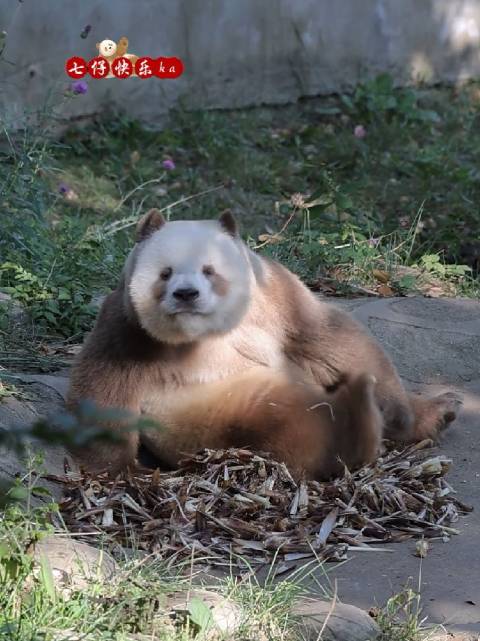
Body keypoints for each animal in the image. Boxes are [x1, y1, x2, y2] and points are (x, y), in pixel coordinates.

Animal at [67, 210, 462, 480]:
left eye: (209, 270)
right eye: (165, 273)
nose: (186, 294)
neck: (201, 332)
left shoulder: (273, 297)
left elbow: (329, 337)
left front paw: (403, 412)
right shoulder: (127, 328)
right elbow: (104, 389)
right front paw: (121, 471)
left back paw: (437, 409)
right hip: (210, 413)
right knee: (284, 418)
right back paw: (355, 421)